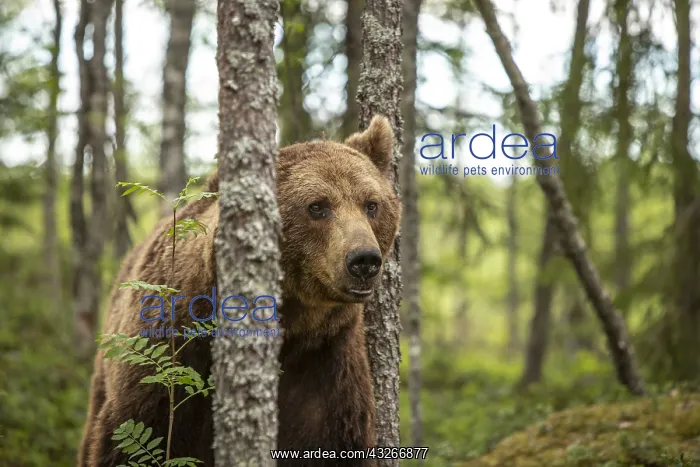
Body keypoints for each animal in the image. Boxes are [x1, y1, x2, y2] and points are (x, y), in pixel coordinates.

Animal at [77, 115, 402, 467]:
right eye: (317, 206)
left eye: (371, 205)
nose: (364, 260)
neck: (293, 327)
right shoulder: (169, 357)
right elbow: (132, 439)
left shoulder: (326, 368)